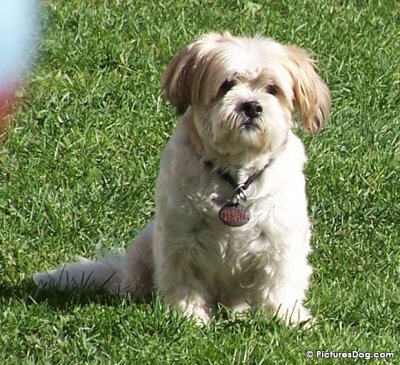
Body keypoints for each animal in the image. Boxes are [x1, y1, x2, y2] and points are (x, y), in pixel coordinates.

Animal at [34, 32, 330, 324]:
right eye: (227, 85)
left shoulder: (280, 239)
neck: (236, 177)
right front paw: (187, 316)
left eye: (272, 89)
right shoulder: (180, 238)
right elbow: (183, 281)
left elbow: (279, 282)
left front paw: (285, 318)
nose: (251, 106)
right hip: (146, 240)